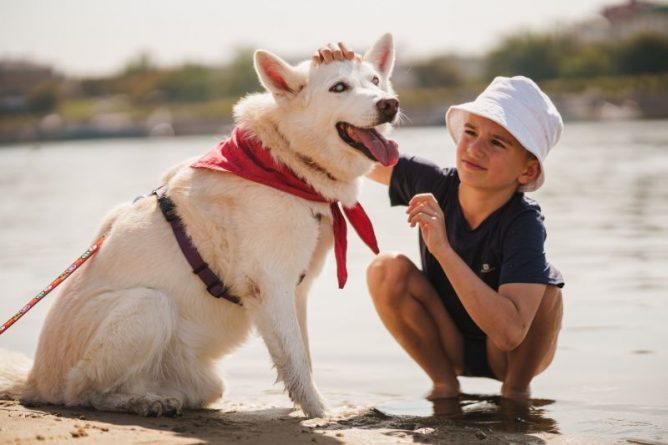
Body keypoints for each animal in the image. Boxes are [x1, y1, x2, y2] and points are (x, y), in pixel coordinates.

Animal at [18, 33, 400, 416]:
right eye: (339, 87)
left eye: (375, 81)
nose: (390, 104)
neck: (287, 163)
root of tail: (34, 382)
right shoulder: (273, 285)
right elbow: (296, 358)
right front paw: (321, 414)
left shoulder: (297, 290)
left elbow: (300, 356)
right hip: (148, 304)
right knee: (85, 391)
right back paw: (143, 402)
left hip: (205, 378)